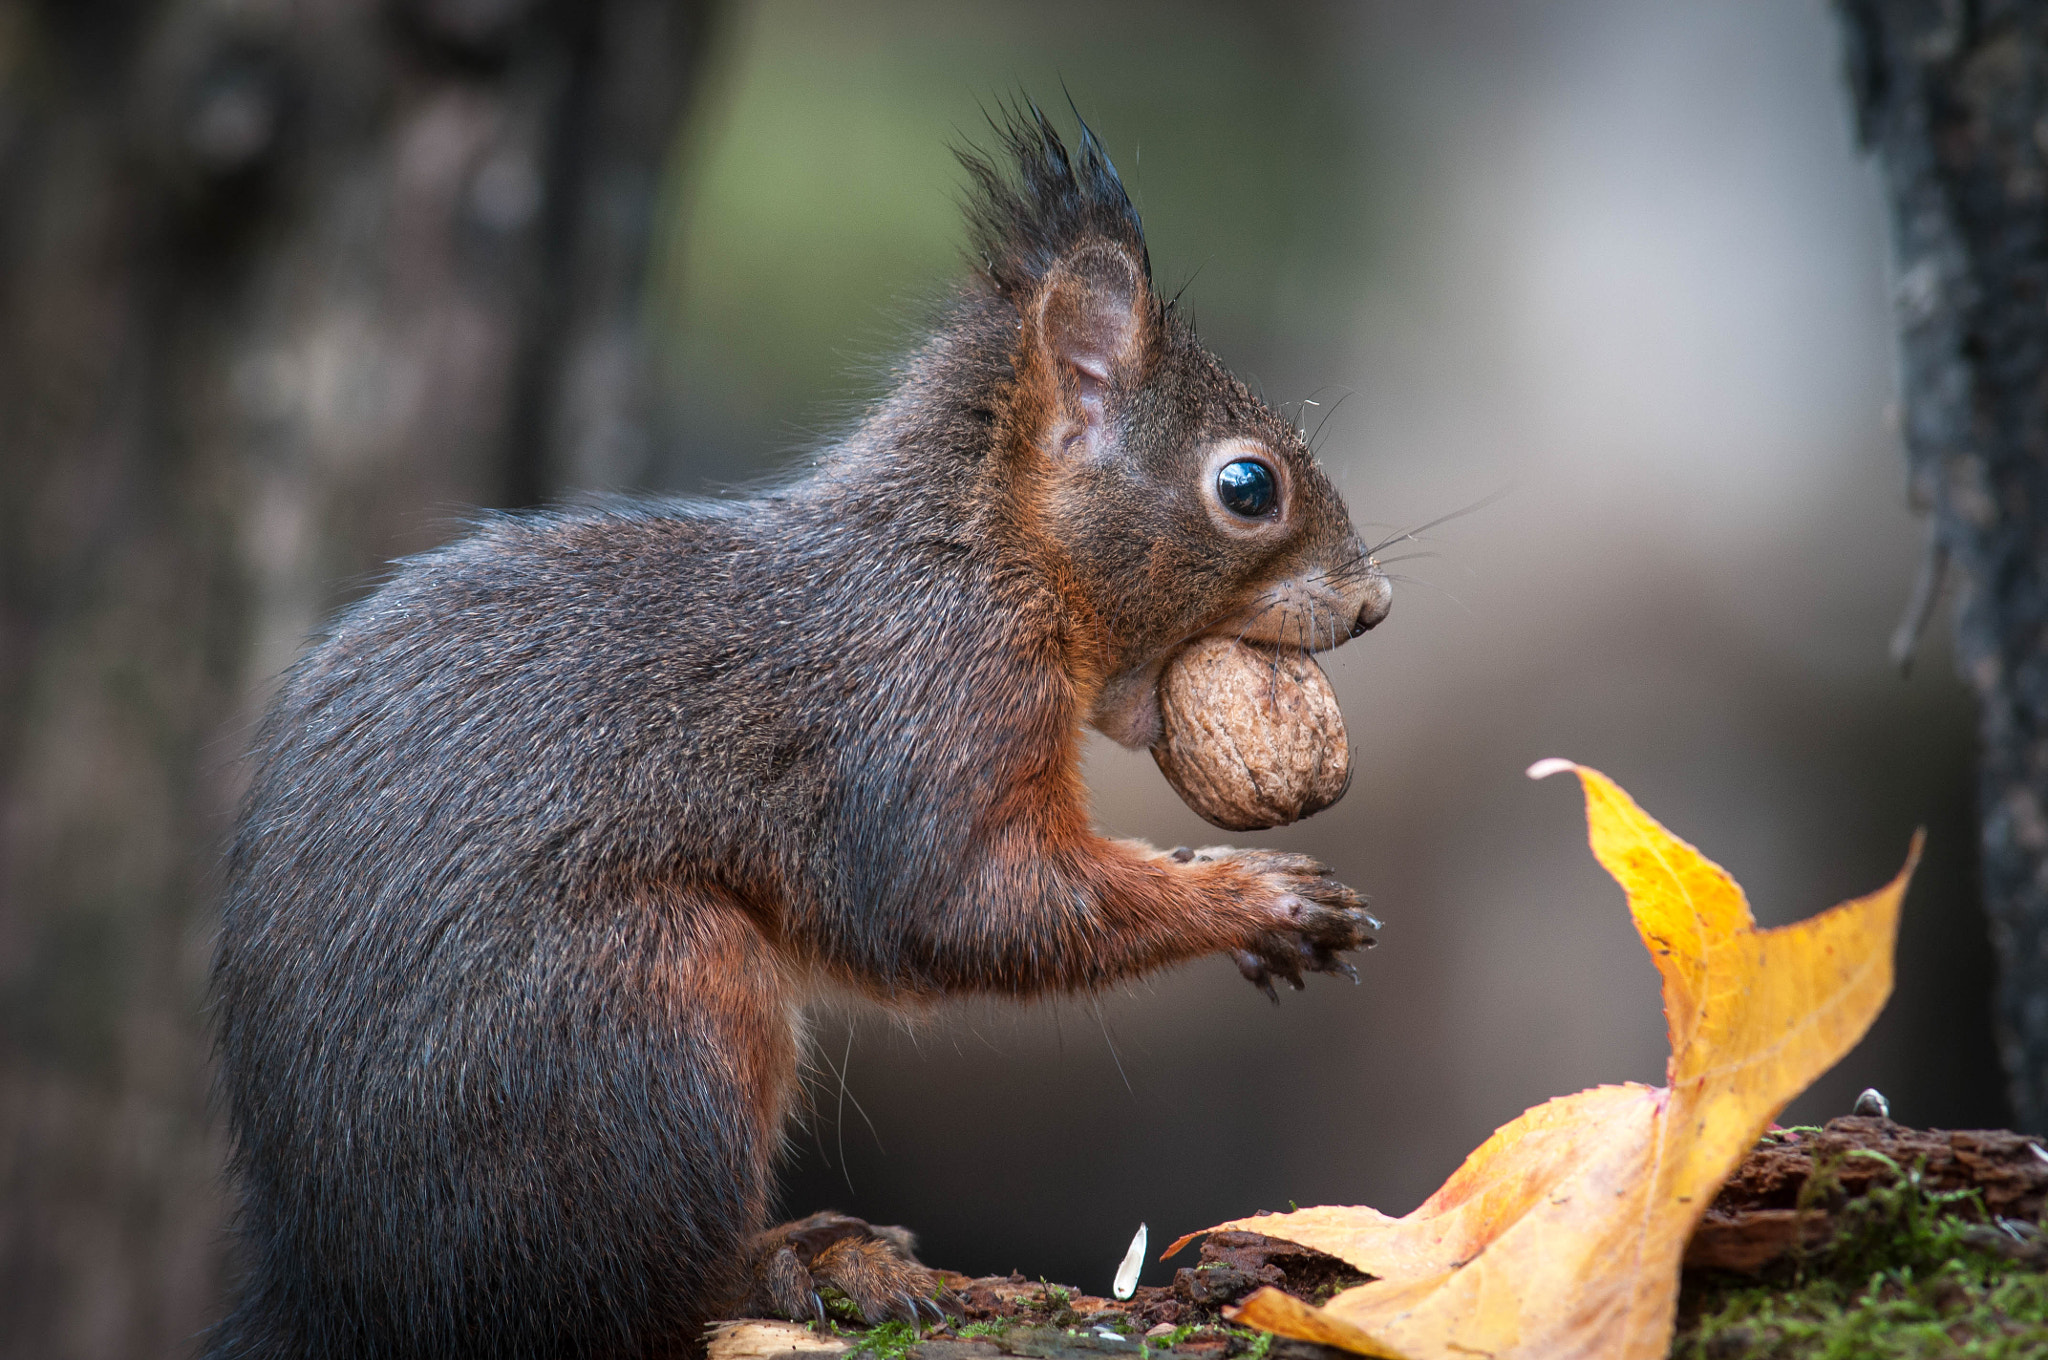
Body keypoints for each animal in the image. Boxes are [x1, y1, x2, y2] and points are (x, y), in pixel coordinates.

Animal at [203, 109, 1392, 1360]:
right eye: (1247, 486)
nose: (1372, 604)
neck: (982, 556)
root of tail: (339, 1292)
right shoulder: (933, 703)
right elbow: (972, 905)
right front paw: (1254, 899)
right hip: (658, 1014)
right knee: (615, 1296)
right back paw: (796, 1260)